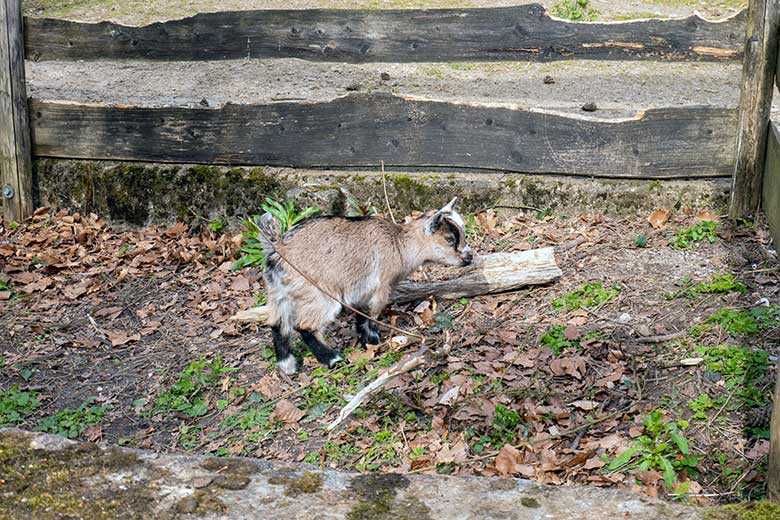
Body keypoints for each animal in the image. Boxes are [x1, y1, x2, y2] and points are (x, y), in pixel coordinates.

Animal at [258, 196, 472, 374]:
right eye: (450, 239)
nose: (469, 257)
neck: (399, 244)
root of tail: (277, 248)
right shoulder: (382, 286)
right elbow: (374, 313)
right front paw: (374, 341)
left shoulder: (361, 288)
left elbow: (361, 313)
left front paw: (364, 341)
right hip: (319, 294)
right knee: (304, 326)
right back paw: (333, 359)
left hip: (279, 292)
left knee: (277, 324)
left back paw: (287, 365)